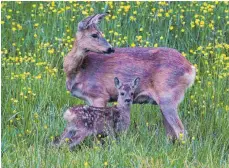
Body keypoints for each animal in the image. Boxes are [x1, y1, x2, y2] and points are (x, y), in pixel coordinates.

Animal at [63, 13, 196, 139]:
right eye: (94, 35)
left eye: (100, 33)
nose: (110, 48)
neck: (78, 70)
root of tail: (191, 69)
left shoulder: (99, 95)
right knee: (171, 133)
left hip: (168, 96)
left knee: (181, 131)